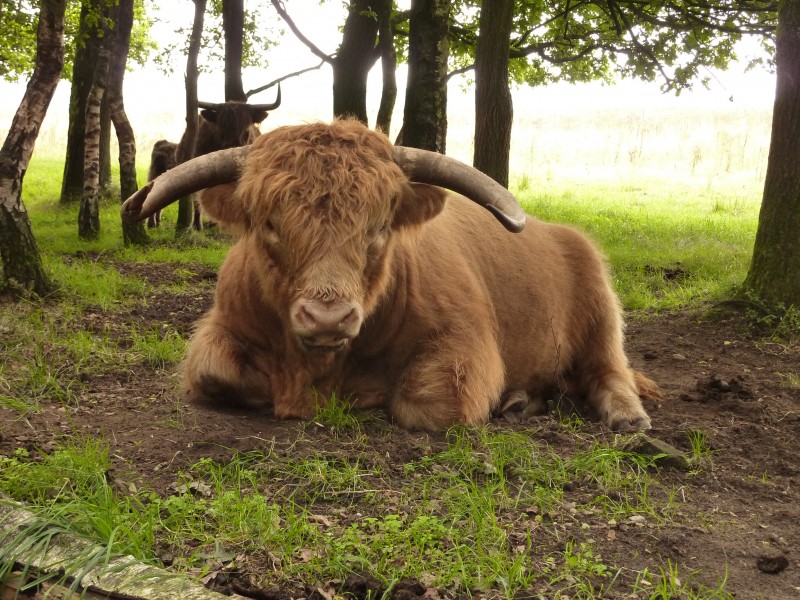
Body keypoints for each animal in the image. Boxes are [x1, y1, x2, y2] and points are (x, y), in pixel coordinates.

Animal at [122, 119, 660, 434]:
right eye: (270, 224)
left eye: (379, 227)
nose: (327, 318)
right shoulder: (218, 334)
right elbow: (218, 373)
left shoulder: (465, 349)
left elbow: (424, 401)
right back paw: (524, 399)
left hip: (600, 309)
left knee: (609, 370)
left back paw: (627, 418)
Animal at [144, 86, 282, 230]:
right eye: (220, 130)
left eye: (246, 131)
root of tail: (162, 142)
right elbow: (199, 200)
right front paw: (198, 226)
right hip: (154, 174)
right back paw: (152, 224)